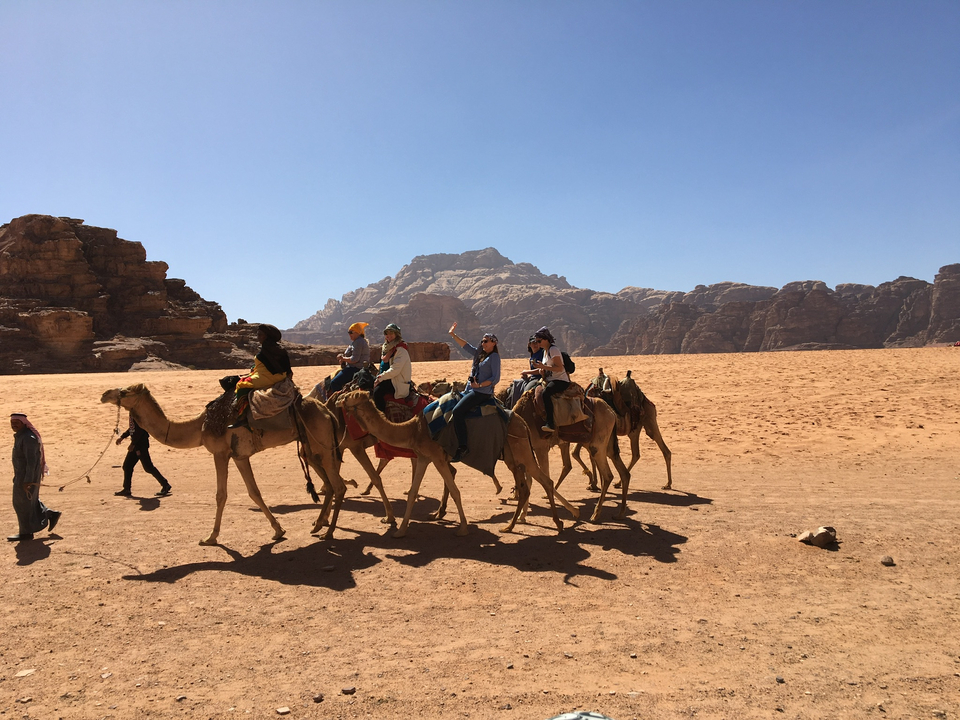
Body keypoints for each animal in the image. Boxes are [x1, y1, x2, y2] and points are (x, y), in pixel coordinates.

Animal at [100, 383, 348, 544]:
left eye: (124, 391)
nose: (104, 394)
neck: (201, 425)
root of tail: (327, 410)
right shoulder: (239, 456)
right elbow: (254, 492)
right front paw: (278, 531)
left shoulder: (219, 453)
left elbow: (221, 495)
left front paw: (210, 537)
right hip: (311, 449)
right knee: (329, 483)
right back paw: (317, 525)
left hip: (322, 443)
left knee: (338, 486)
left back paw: (328, 533)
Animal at [337, 390, 578, 538]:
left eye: (350, 395)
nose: (338, 399)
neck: (413, 429)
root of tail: (524, 423)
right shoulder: (425, 457)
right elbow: (413, 492)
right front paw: (400, 530)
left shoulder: (436, 456)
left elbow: (454, 490)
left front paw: (462, 528)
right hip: (513, 455)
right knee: (527, 486)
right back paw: (512, 525)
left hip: (522, 452)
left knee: (544, 481)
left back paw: (560, 522)